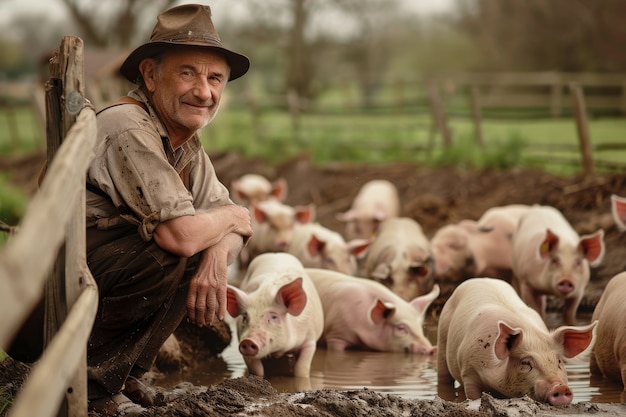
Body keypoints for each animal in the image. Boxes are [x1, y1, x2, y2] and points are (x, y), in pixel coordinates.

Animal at [436, 276, 596, 404]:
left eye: (559, 361)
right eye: (525, 362)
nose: (560, 387)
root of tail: (480, 278)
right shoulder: (469, 370)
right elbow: (473, 395)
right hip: (442, 338)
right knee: (444, 376)